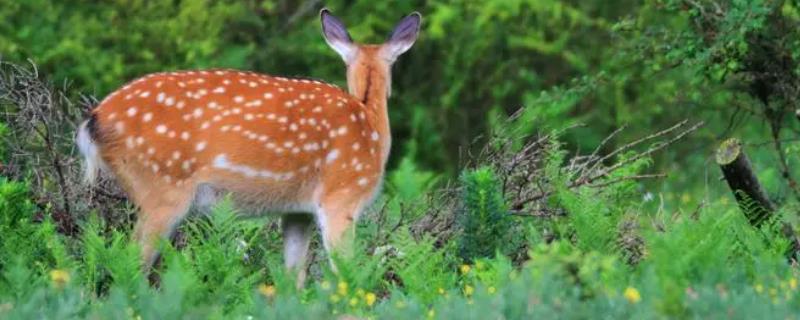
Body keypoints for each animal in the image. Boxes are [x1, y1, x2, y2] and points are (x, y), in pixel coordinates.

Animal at [77, 9, 422, 284]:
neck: (370, 121)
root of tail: (94, 120)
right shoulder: (343, 195)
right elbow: (345, 276)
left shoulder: (298, 212)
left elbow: (292, 279)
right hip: (161, 186)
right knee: (130, 264)